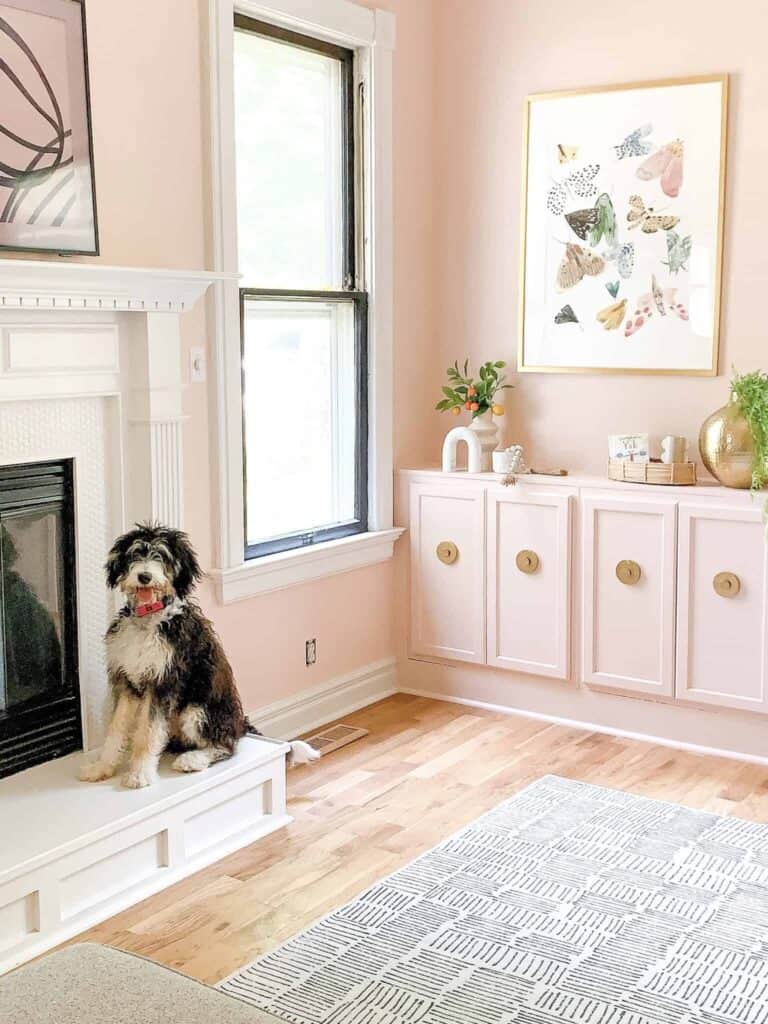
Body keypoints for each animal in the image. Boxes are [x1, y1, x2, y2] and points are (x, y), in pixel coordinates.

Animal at [78, 524, 319, 786]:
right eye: (135, 553)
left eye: (162, 556)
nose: (144, 576)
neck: (149, 620)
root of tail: (239, 724)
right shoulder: (127, 680)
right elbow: (116, 727)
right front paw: (102, 767)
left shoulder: (164, 682)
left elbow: (149, 732)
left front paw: (140, 774)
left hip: (197, 711)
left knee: (226, 745)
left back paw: (193, 760)